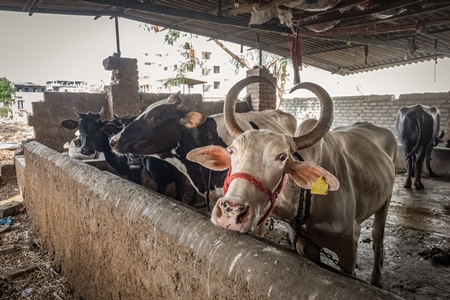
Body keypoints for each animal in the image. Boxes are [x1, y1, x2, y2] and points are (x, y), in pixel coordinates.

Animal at [186, 76, 398, 288]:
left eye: (282, 157)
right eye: (231, 150)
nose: (231, 212)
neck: (309, 203)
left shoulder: (349, 245)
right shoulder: (305, 245)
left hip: (386, 200)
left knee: (378, 236)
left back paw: (376, 279)